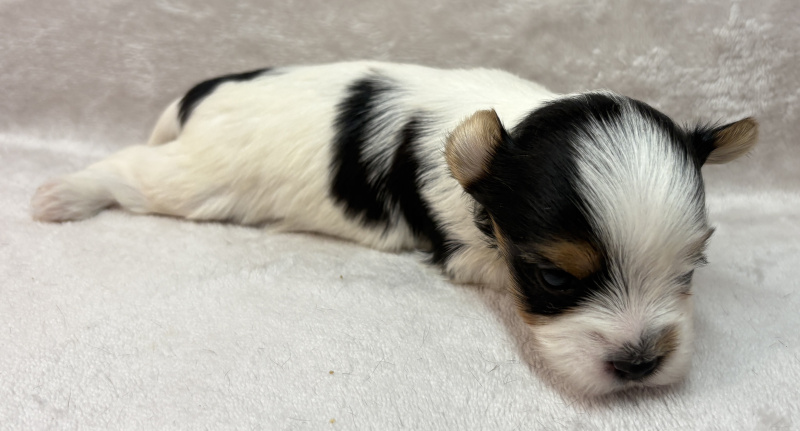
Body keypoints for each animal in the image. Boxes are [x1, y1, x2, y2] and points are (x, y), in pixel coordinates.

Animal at [31, 61, 757, 395]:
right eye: (552, 277)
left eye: (690, 270)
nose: (640, 364)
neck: (509, 123)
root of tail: (208, 92)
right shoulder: (466, 249)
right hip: (194, 179)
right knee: (130, 170)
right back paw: (61, 194)